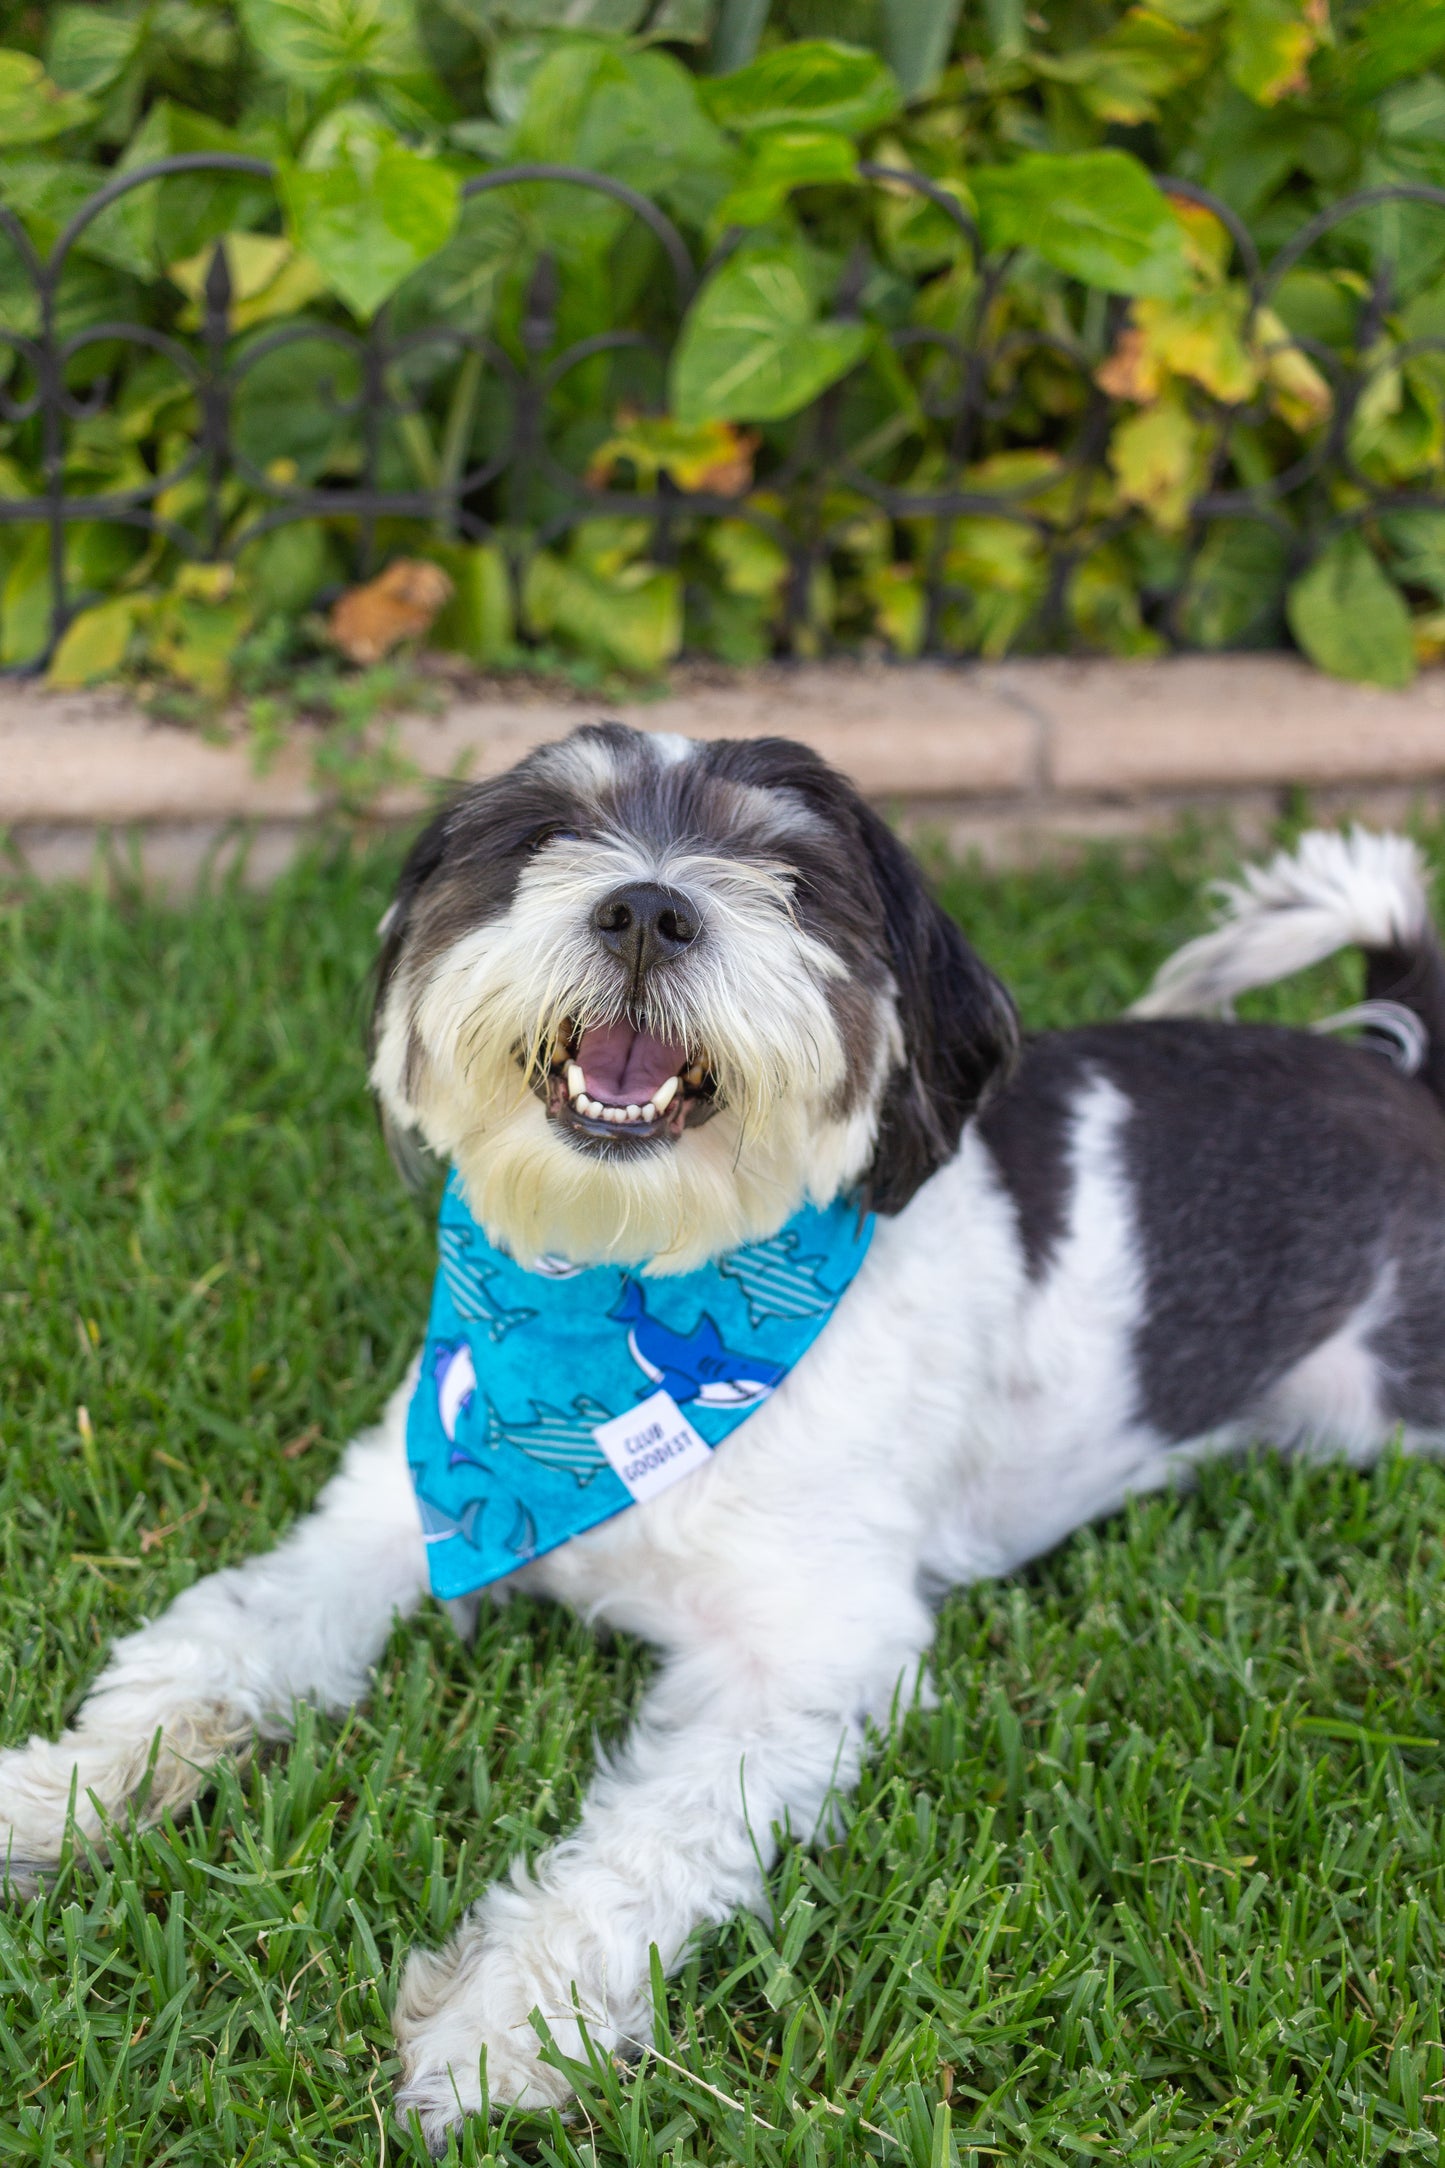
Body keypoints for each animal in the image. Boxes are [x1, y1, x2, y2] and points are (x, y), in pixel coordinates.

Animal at [2, 724, 1445, 2133]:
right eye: (546, 834)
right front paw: (58, 1794)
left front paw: (501, 2030)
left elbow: (647, 1844)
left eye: (789, 875)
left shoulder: (809, 1654)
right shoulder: (402, 1505)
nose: (646, 906)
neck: (621, 1269)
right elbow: (223, 1640)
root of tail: (1394, 1071)